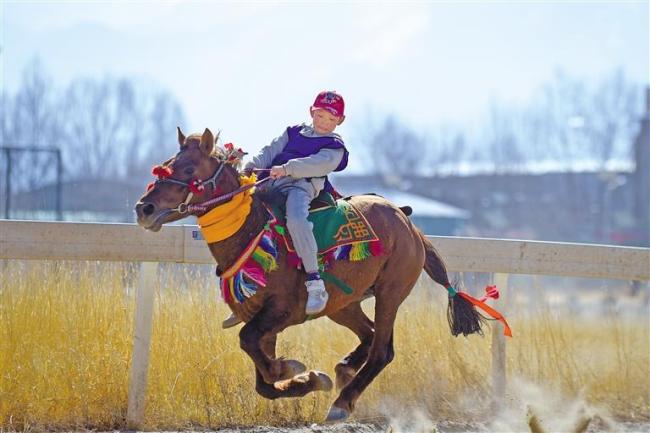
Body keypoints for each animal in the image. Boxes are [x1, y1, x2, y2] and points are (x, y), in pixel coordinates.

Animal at [138, 128, 492, 422]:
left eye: (188, 169)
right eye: (166, 164)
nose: (144, 208)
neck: (255, 230)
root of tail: (405, 219)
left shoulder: (280, 311)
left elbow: (250, 345)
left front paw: (289, 367)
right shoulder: (262, 319)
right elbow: (263, 382)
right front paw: (306, 377)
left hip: (391, 292)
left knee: (382, 350)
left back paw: (342, 402)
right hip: (344, 304)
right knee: (369, 335)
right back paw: (345, 368)